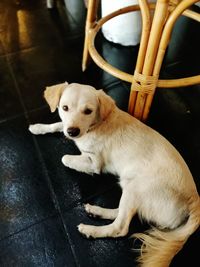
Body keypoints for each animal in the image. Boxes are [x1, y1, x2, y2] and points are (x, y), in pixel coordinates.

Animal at [28, 82, 199, 267]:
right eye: (64, 107)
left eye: (88, 111)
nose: (73, 132)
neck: (96, 125)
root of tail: (194, 200)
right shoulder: (68, 126)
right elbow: (58, 124)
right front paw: (37, 127)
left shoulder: (94, 163)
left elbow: (65, 158)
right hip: (131, 190)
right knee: (122, 213)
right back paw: (96, 211)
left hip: (136, 187)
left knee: (120, 227)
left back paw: (90, 230)